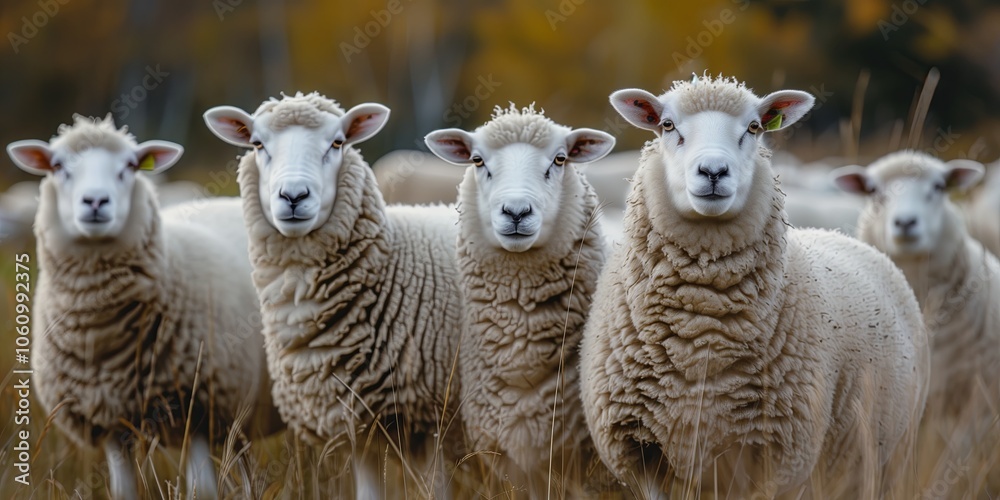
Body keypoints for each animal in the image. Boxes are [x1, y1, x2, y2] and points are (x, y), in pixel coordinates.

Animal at [5, 115, 281, 499]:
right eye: (58, 166)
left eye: (130, 166)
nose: (95, 201)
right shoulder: (108, 421)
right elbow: (123, 491)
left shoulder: (193, 407)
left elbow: (201, 490)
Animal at [579, 75, 929, 499]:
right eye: (667, 125)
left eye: (754, 127)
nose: (713, 170)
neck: (699, 332)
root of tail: (846, 238)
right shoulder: (639, 453)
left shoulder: (777, 458)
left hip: (892, 454)